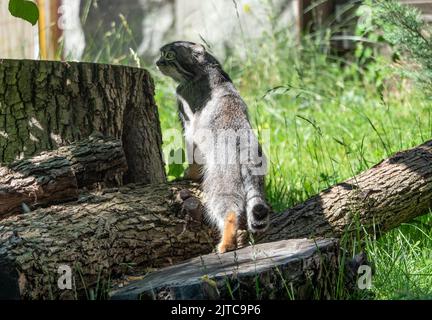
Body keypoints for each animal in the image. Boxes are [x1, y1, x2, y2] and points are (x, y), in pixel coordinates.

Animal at [157, 42, 268, 252]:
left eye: (169, 55)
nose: (157, 62)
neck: (207, 69)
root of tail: (245, 146)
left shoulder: (189, 123)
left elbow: (192, 155)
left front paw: (189, 175)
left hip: (221, 183)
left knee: (230, 212)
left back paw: (226, 243)